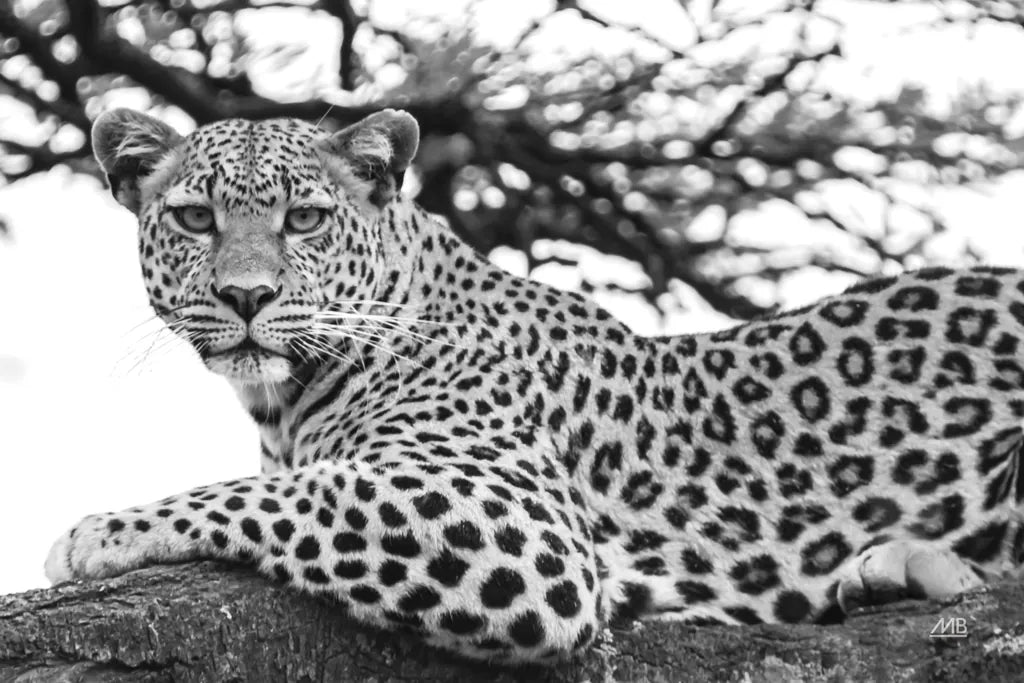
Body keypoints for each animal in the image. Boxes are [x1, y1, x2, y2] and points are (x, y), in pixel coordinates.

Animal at [44, 106, 1024, 665]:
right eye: (194, 218)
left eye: (307, 218)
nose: (247, 297)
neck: (285, 401)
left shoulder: (523, 523)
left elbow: (291, 491)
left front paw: (102, 532)